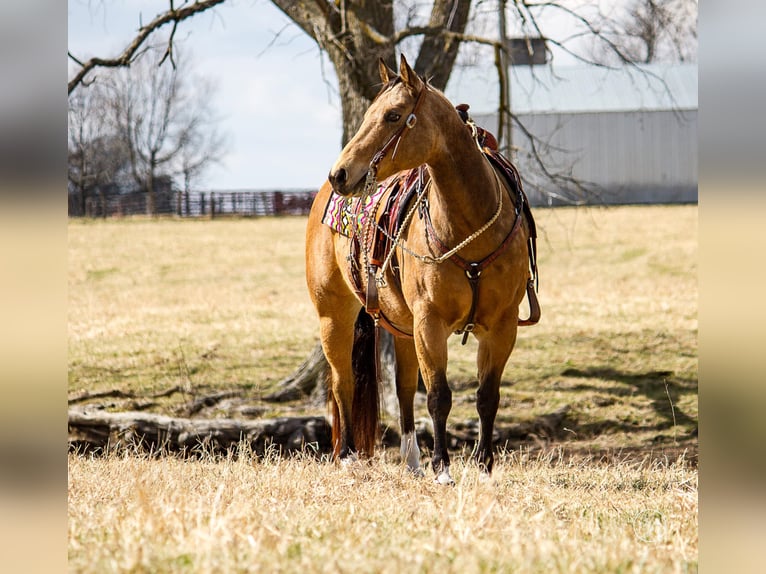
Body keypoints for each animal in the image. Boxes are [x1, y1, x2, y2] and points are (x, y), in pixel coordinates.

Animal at [306, 54, 540, 486]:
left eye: (393, 115)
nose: (340, 173)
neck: (471, 224)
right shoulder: (431, 324)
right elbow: (438, 396)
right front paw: (443, 468)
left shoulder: (501, 327)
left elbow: (486, 396)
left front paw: (484, 468)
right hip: (334, 315)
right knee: (343, 382)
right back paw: (347, 457)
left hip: (403, 328)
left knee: (401, 390)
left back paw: (412, 461)